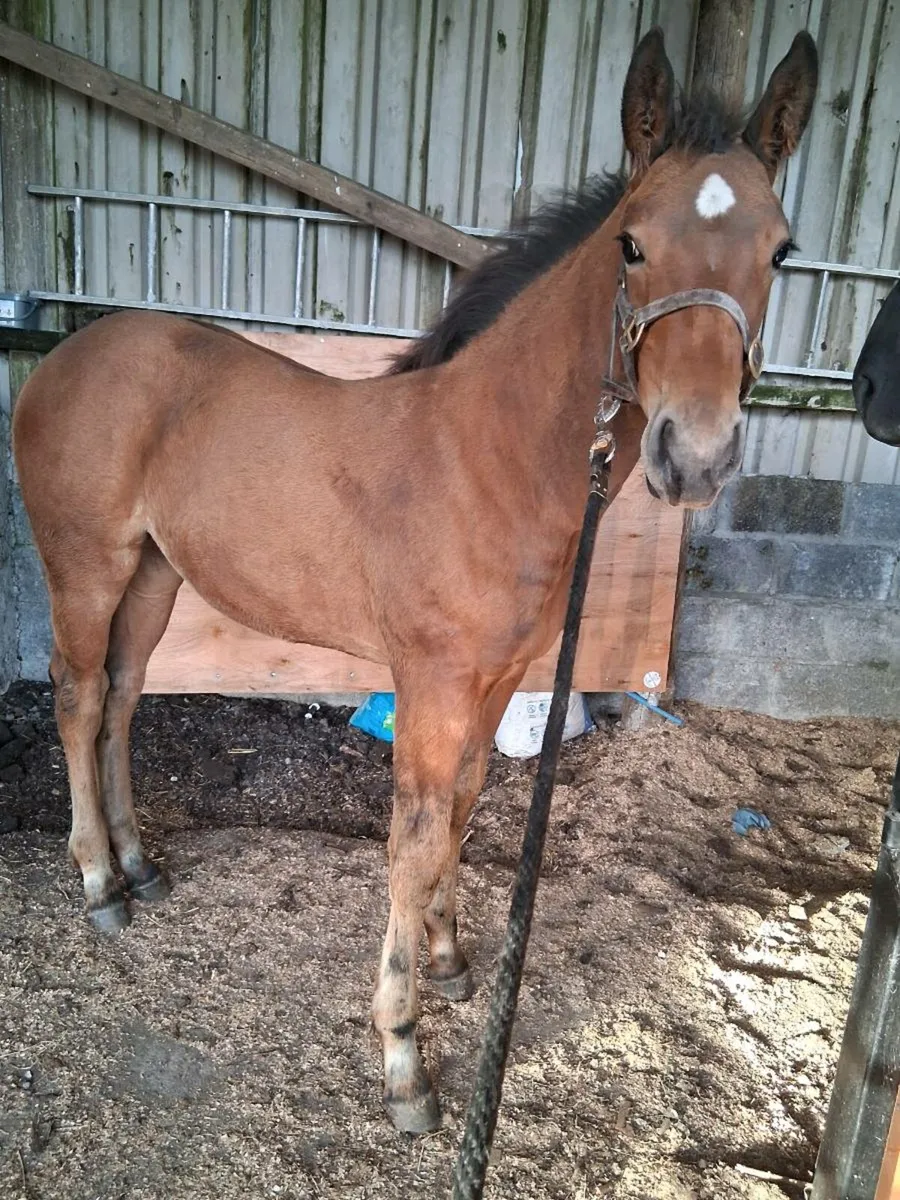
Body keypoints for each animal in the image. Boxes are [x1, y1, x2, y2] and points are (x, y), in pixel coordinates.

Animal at [12, 27, 817, 1133]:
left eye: (780, 250)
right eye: (632, 244)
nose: (693, 458)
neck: (487, 454)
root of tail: (67, 354)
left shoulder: (494, 679)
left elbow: (463, 813)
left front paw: (447, 958)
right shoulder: (431, 681)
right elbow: (417, 833)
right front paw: (403, 1060)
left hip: (154, 575)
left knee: (126, 697)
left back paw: (139, 864)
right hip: (86, 564)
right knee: (79, 696)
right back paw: (98, 882)